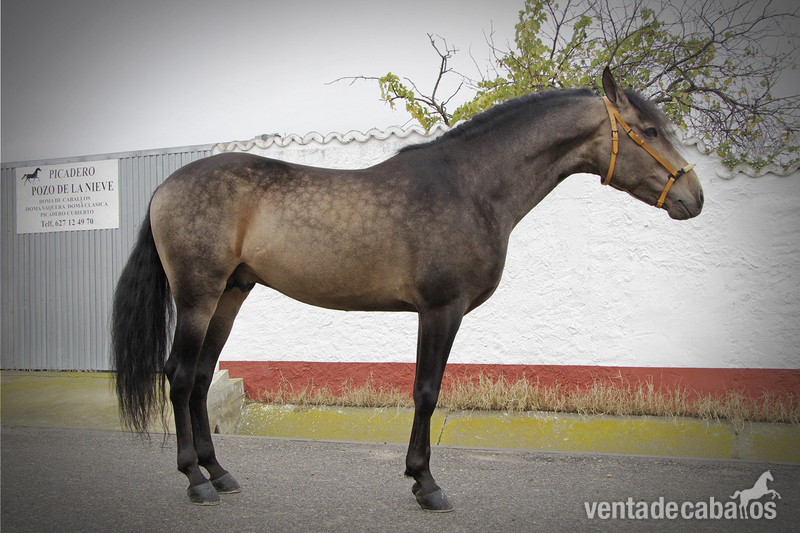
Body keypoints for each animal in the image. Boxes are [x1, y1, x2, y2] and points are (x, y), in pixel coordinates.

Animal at [111, 68, 703, 511]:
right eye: (649, 130)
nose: (694, 197)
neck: (471, 186)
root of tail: (165, 187)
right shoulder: (441, 310)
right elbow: (426, 391)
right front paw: (426, 484)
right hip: (198, 296)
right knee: (180, 376)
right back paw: (196, 480)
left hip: (231, 294)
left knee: (202, 377)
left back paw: (220, 472)